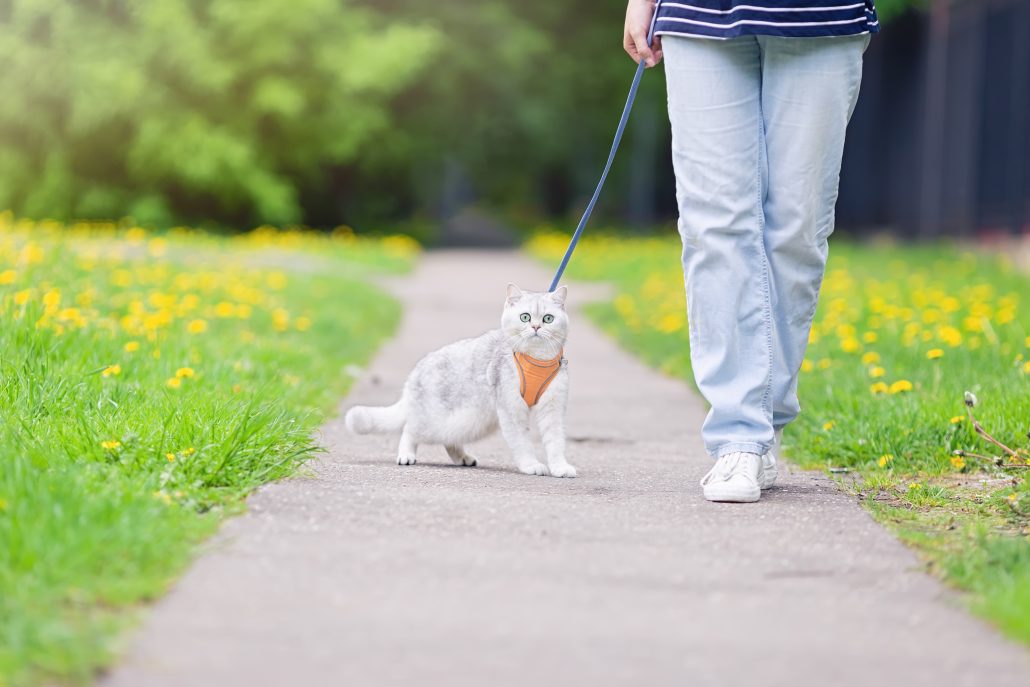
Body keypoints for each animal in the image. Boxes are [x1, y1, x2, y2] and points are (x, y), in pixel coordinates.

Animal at [341, 284, 576, 477]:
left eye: (548, 319)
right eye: (525, 317)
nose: (536, 327)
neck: (537, 359)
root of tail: (414, 374)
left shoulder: (553, 409)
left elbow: (555, 442)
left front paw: (559, 468)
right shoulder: (512, 410)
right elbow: (523, 443)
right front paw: (531, 465)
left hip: (471, 422)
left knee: (449, 441)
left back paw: (464, 458)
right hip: (436, 423)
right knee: (409, 429)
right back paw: (406, 455)